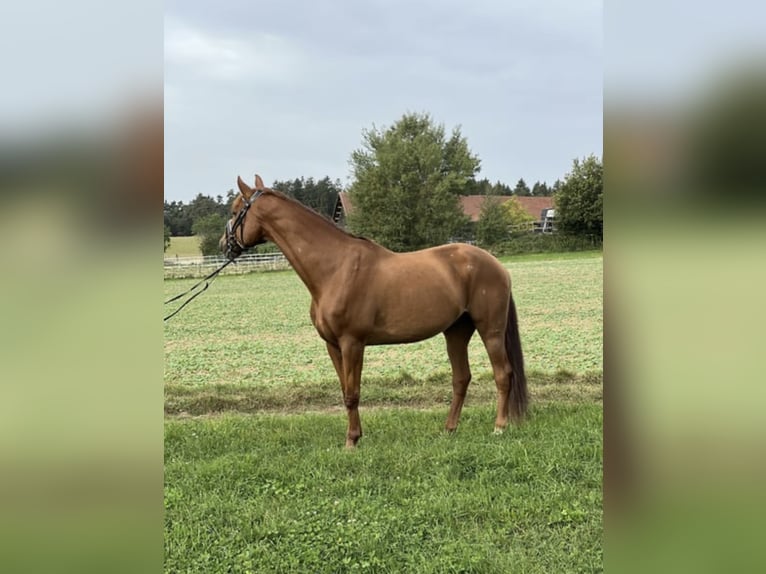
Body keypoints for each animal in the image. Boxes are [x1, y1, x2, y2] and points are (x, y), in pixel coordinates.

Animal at [221, 174, 528, 447]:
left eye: (235, 211)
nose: (224, 245)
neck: (335, 268)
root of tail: (496, 265)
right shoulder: (333, 345)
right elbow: (345, 390)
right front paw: (355, 436)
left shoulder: (352, 343)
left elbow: (353, 393)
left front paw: (351, 441)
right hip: (456, 331)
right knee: (461, 378)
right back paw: (449, 429)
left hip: (490, 329)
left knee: (503, 373)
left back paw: (499, 427)